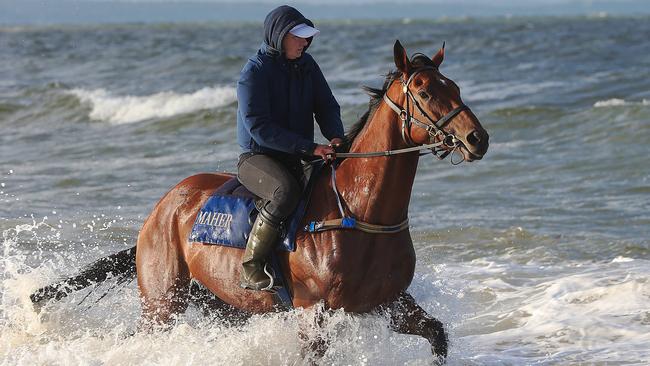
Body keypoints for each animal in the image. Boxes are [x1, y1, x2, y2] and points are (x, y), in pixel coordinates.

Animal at [30, 40, 486, 360]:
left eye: (454, 86)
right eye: (424, 92)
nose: (476, 138)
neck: (359, 211)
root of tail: (161, 209)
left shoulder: (390, 303)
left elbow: (438, 334)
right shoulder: (313, 313)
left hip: (224, 304)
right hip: (162, 302)